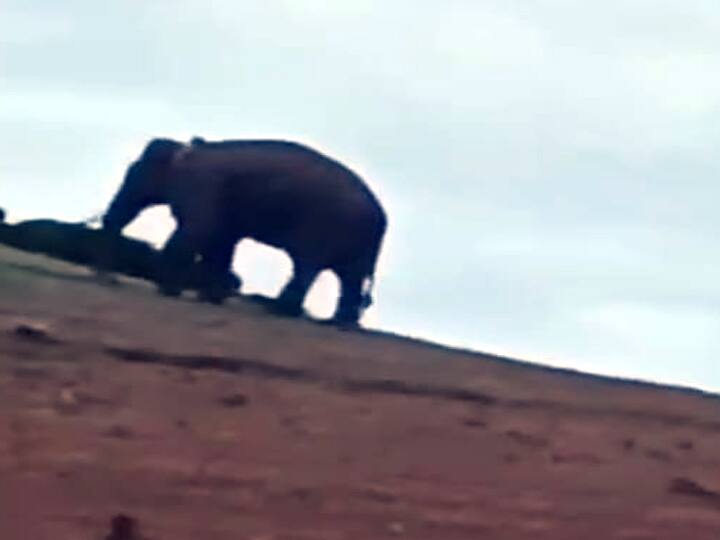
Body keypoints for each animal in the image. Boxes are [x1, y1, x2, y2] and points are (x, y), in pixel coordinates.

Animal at [101, 137, 388, 326]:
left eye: (134, 173)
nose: (110, 281)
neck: (187, 148)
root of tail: (381, 216)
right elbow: (221, 243)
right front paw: (210, 298)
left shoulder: (202, 187)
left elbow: (197, 232)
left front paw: (168, 292)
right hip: (355, 240)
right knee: (348, 278)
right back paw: (338, 323)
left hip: (329, 225)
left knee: (308, 265)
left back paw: (279, 310)